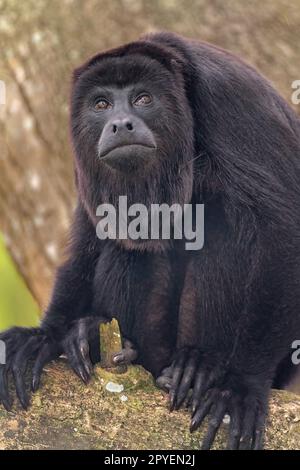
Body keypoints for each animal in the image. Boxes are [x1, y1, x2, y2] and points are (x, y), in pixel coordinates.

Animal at [0, 31, 300, 450]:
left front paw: (242, 386)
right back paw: (105, 343)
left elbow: (283, 229)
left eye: (143, 98)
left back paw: (200, 365)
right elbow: (90, 235)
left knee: (227, 221)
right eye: (101, 104)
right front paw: (46, 335)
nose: (120, 124)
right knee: (128, 245)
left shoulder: (233, 99)